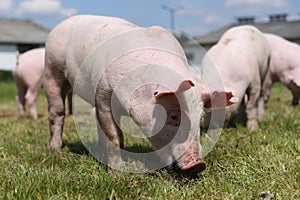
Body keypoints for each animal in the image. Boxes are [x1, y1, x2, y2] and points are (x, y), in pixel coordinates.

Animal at [43, 15, 234, 175]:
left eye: (199, 117)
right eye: (173, 116)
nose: (198, 164)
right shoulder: (103, 94)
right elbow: (115, 136)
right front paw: (117, 173)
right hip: (52, 67)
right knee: (56, 110)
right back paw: (54, 150)